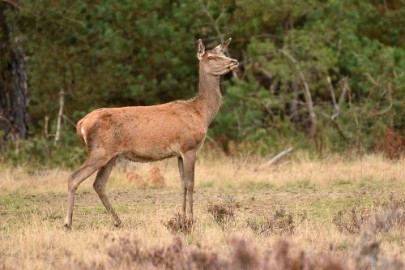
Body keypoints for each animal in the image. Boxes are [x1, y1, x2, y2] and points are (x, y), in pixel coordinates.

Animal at [64, 37, 237, 228]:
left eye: (223, 53)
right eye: (211, 57)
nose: (234, 61)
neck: (201, 113)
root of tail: (81, 123)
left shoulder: (179, 153)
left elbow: (182, 184)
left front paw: (182, 218)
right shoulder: (189, 146)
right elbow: (191, 184)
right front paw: (191, 220)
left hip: (111, 156)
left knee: (99, 184)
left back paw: (117, 221)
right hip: (99, 151)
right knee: (74, 178)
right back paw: (68, 222)